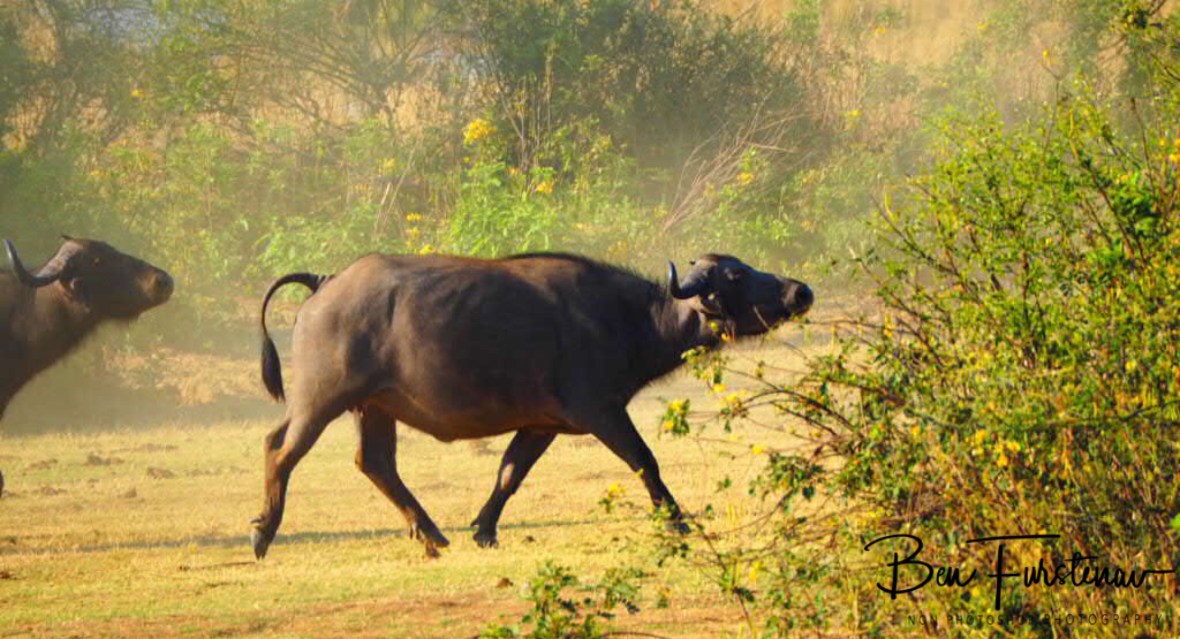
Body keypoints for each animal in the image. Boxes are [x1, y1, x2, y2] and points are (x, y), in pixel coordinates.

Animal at [251, 252, 812, 558]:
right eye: (735, 276)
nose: (799, 291)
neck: (626, 319)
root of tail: (326, 282)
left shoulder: (542, 424)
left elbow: (509, 473)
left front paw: (483, 529)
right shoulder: (602, 412)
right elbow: (644, 461)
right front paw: (677, 521)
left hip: (374, 407)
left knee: (375, 462)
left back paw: (430, 532)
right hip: (322, 397)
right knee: (280, 448)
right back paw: (263, 532)